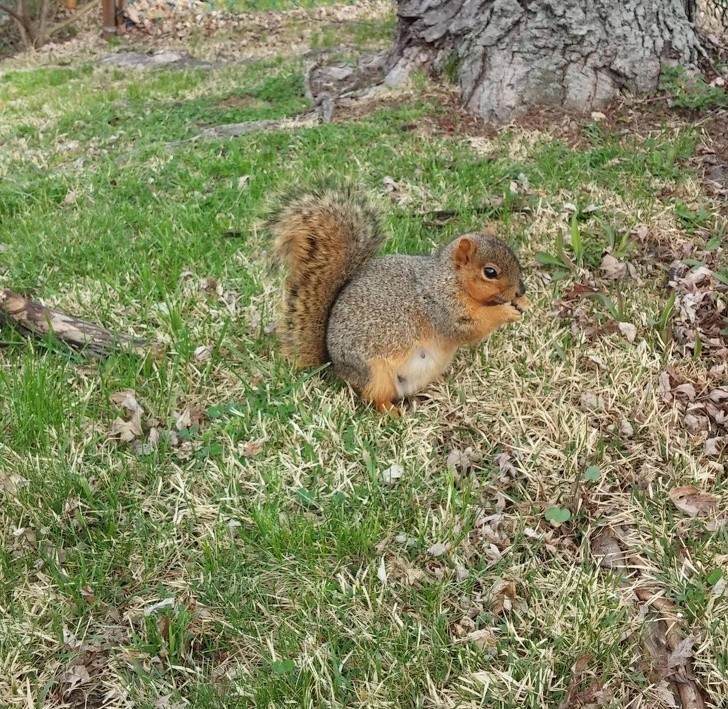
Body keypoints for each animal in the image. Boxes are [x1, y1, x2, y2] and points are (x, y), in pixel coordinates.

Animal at [268, 184, 528, 414]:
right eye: (490, 272)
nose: (520, 291)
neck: (449, 280)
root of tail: (335, 367)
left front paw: (524, 303)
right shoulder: (440, 307)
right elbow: (469, 329)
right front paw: (504, 312)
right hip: (375, 373)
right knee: (374, 397)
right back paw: (392, 413)